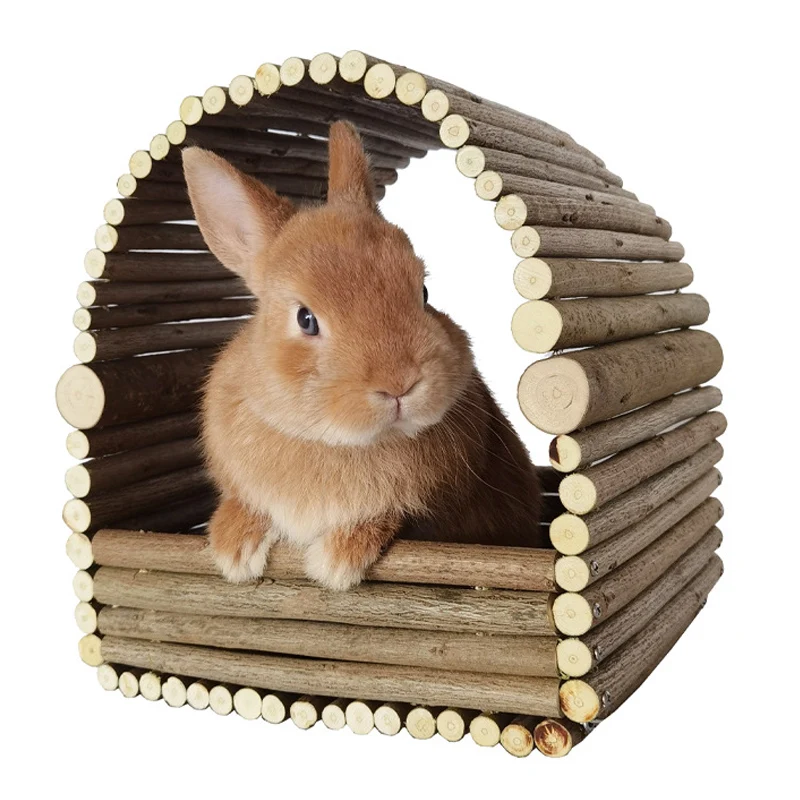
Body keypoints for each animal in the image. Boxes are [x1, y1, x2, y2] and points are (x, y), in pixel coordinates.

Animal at [182, 120, 544, 591]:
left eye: (424, 293)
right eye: (305, 319)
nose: (399, 384)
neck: (335, 441)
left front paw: (337, 563)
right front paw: (233, 550)